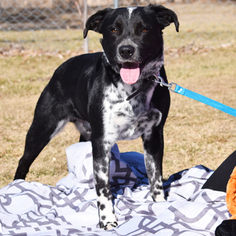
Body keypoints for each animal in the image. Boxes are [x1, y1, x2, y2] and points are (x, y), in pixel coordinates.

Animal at [14, 4, 179, 230]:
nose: (126, 50)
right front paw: (107, 220)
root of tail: (62, 67)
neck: (131, 90)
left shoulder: (154, 136)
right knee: (23, 161)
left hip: (84, 135)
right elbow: (103, 187)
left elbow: (156, 177)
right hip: (42, 129)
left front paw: (161, 205)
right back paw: (16, 186)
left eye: (144, 29)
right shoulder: (102, 141)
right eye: (113, 30)